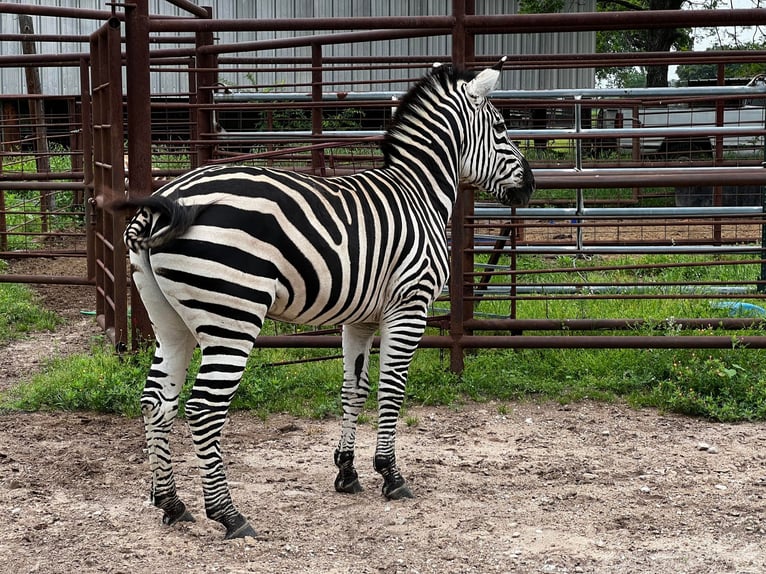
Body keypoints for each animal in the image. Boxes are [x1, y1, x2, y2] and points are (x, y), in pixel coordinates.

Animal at [117, 60, 536, 544]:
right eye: (502, 127)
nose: (531, 186)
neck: (419, 193)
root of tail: (166, 201)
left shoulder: (359, 319)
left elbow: (354, 389)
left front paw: (347, 472)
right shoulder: (408, 306)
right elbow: (392, 389)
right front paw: (391, 475)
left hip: (170, 321)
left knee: (156, 401)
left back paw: (171, 503)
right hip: (233, 315)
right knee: (204, 408)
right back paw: (229, 515)